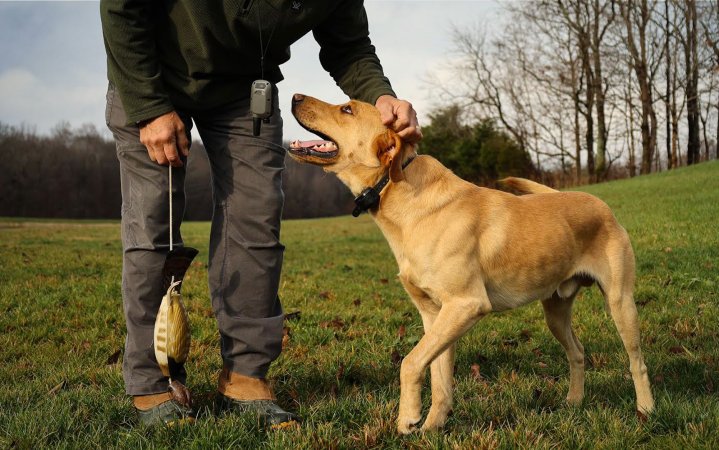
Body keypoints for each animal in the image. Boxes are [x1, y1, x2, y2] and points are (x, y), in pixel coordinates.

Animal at [286, 94, 652, 432]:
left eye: (347, 109)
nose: (294, 96)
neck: (400, 194)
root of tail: (601, 204)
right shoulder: (434, 315)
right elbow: (438, 378)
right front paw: (431, 427)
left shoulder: (465, 304)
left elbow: (409, 363)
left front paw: (407, 418)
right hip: (555, 312)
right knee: (577, 352)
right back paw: (574, 402)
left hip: (620, 303)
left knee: (637, 360)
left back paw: (646, 409)